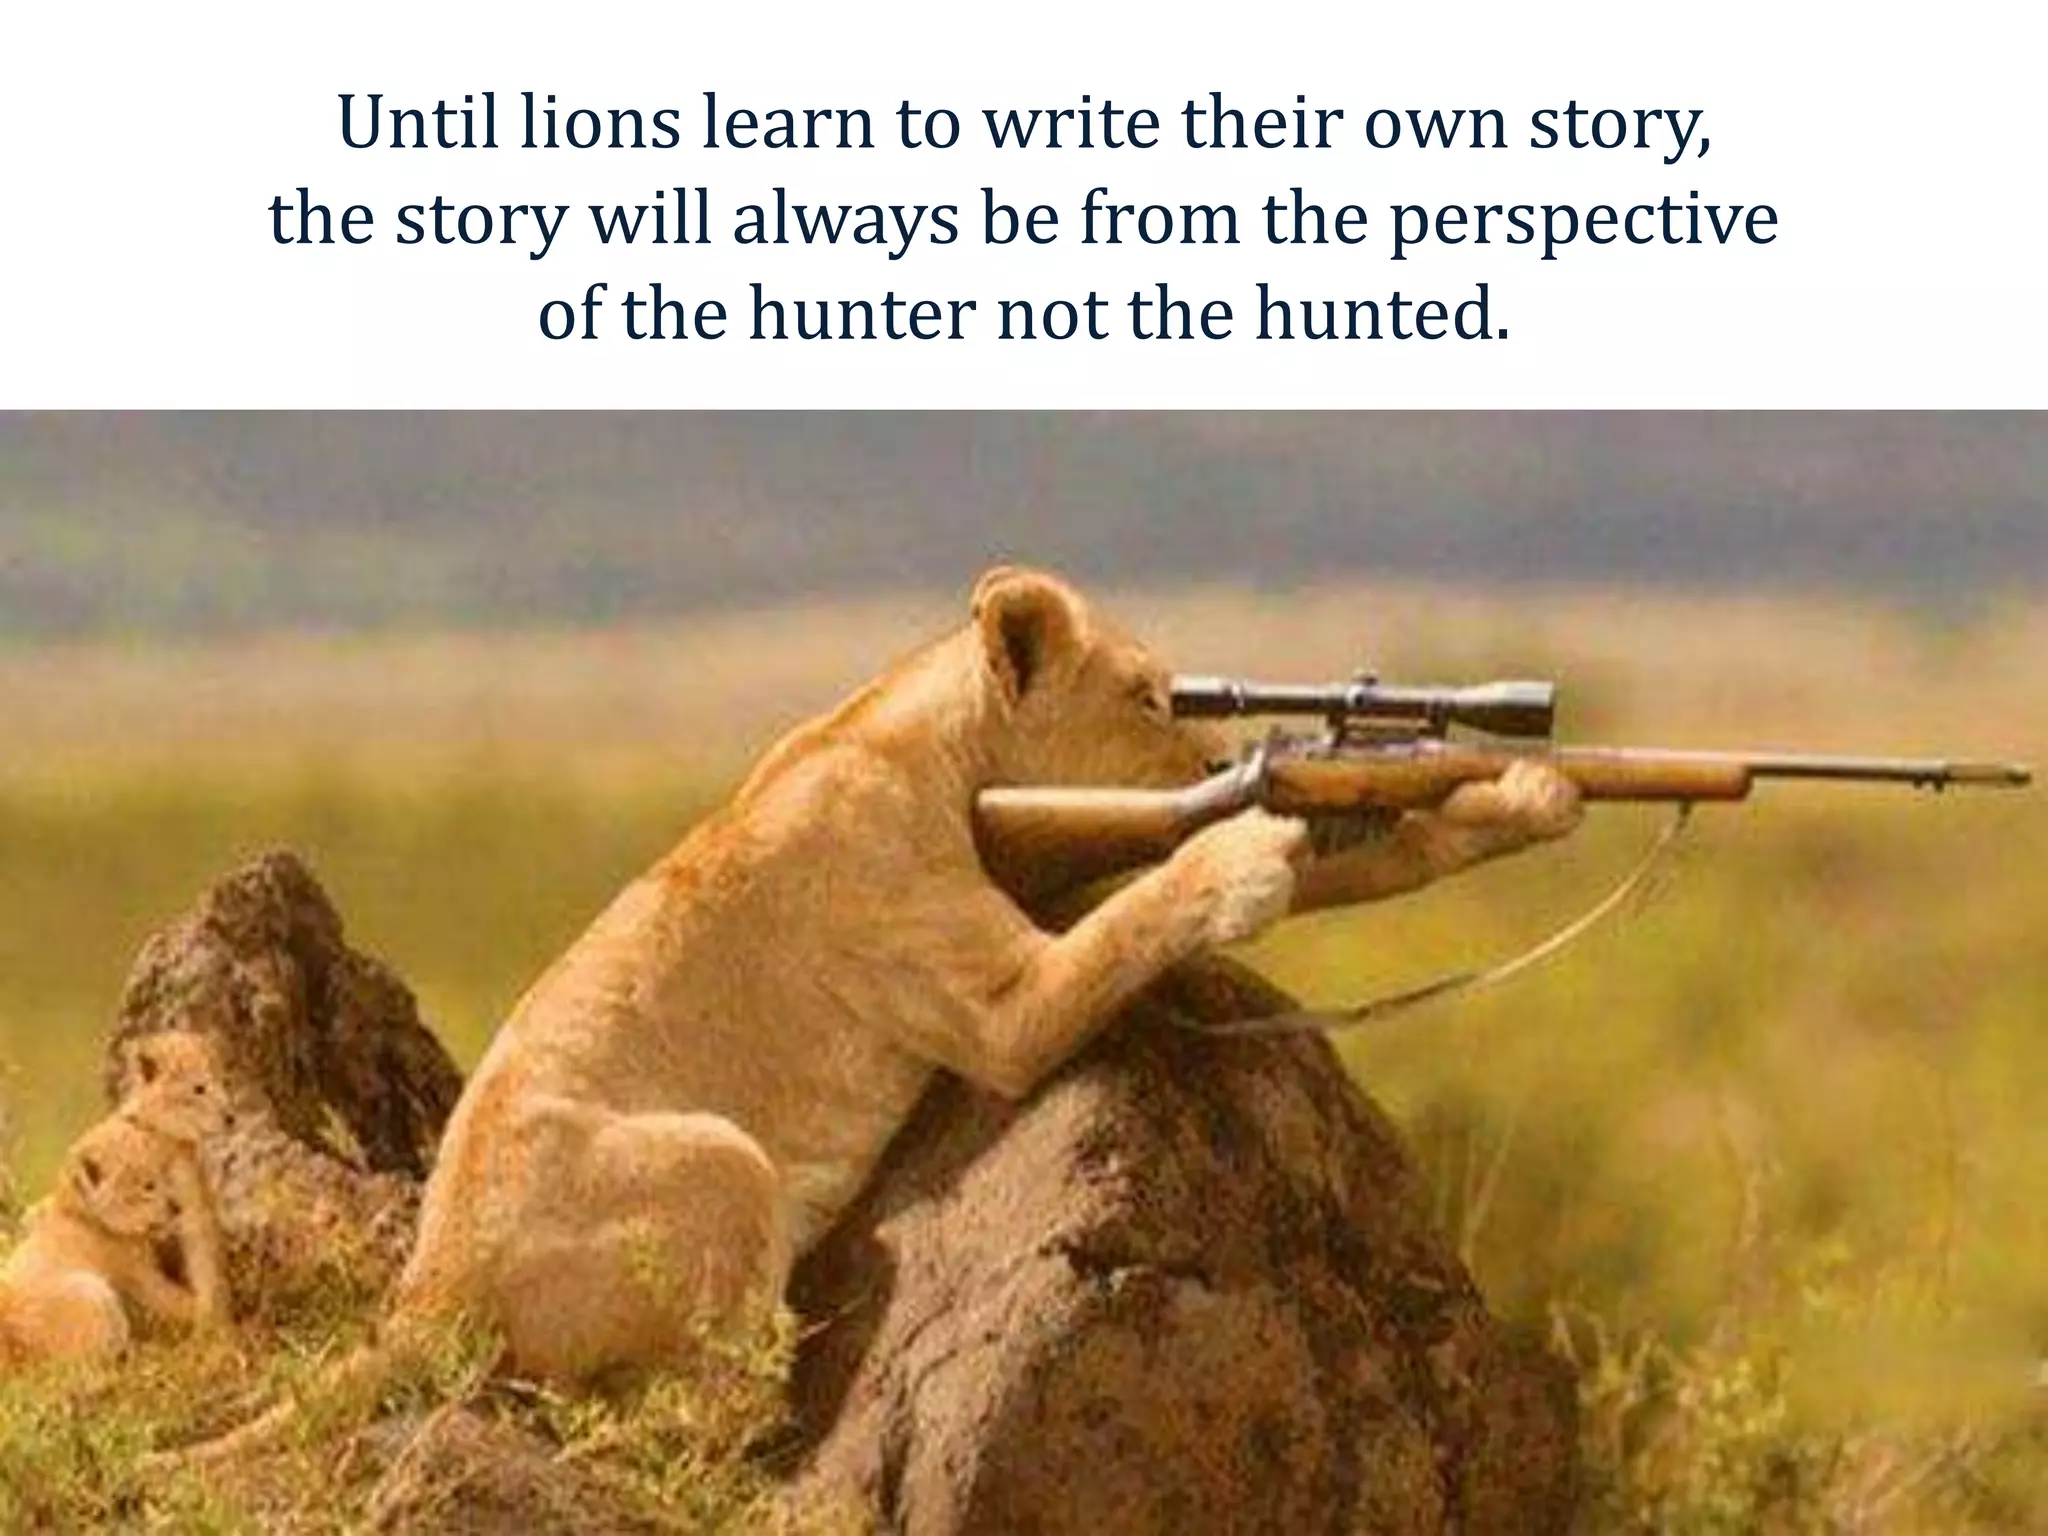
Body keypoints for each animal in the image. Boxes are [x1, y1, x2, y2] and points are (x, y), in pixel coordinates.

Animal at [0, 1114, 228, 1367]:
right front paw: (212, 1315)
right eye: (147, 1185)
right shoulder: (137, 1277)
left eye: (160, 1173)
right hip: (93, 1292)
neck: (83, 1216)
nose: (176, 1207)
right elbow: (179, 1303)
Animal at [178, 565, 1578, 1455]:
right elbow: (1147, 906)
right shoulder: (1005, 1008)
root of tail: (423, 1291)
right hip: (716, 1158)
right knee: (664, 1420)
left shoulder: (1051, 872)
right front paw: (1241, 858)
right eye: (1146, 697)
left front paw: (1513, 797)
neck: (924, 745)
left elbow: (1358, 859)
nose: (1218, 765)